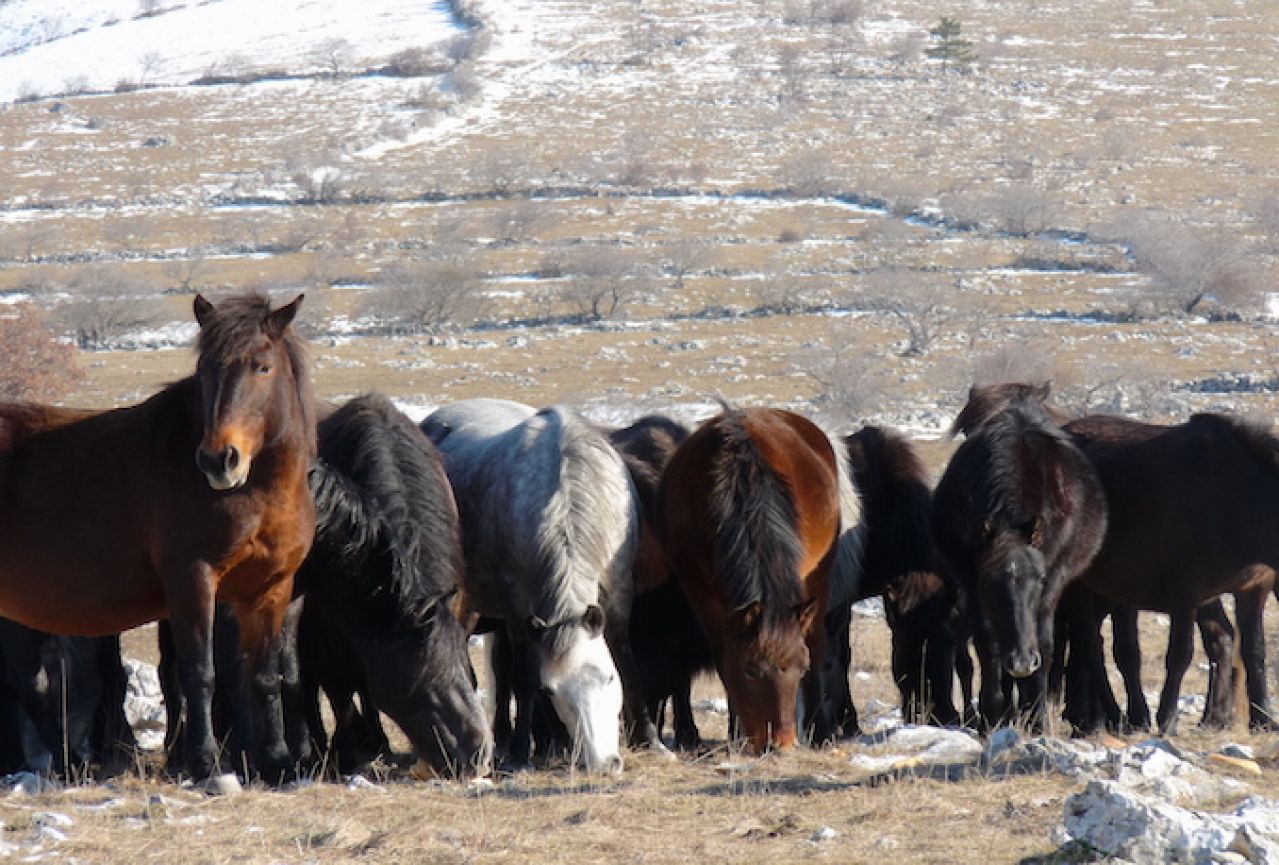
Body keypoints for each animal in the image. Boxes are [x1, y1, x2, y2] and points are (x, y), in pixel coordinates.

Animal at [0, 291, 314, 777]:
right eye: (205, 369)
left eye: (262, 366)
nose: (218, 460)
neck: (259, 491)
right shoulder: (193, 579)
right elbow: (200, 672)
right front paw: (204, 762)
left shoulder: (271, 588)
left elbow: (264, 676)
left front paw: (278, 761)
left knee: (28, 681)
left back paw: (72, 763)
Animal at [422, 396, 636, 772]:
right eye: (553, 692)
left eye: (607, 678)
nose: (603, 763)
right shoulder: (519, 612)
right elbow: (525, 680)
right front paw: (522, 752)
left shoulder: (618, 597)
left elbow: (626, 659)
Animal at [659, 404, 859, 752]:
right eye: (751, 671)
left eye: (800, 667)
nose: (781, 743)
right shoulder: (702, 595)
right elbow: (724, 658)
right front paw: (738, 732)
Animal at [931, 381, 1110, 726]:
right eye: (989, 582)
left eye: (1039, 579)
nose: (1023, 662)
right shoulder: (972, 583)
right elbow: (987, 642)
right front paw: (993, 713)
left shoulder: (1054, 578)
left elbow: (1044, 640)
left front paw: (1036, 715)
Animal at [1064, 409, 1279, 731]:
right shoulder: (1185, 594)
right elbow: (1180, 654)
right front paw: (1167, 718)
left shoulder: (1253, 589)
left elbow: (1254, 651)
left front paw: (1263, 718)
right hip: (1080, 585)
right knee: (1089, 645)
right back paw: (1111, 716)